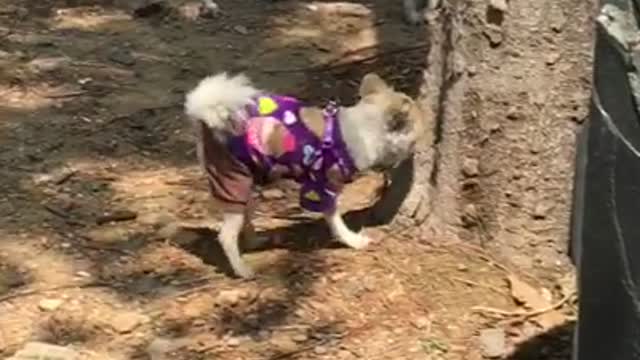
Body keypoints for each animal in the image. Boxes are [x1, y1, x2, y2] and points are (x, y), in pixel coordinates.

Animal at [184, 71, 424, 278]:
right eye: (416, 136)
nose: (426, 135)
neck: (358, 129)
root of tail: (207, 116)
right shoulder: (324, 188)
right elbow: (336, 221)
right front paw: (353, 241)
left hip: (249, 180)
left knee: (245, 216)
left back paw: (254, 241)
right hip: (233, 179)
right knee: (226, 236)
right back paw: (242, 270)